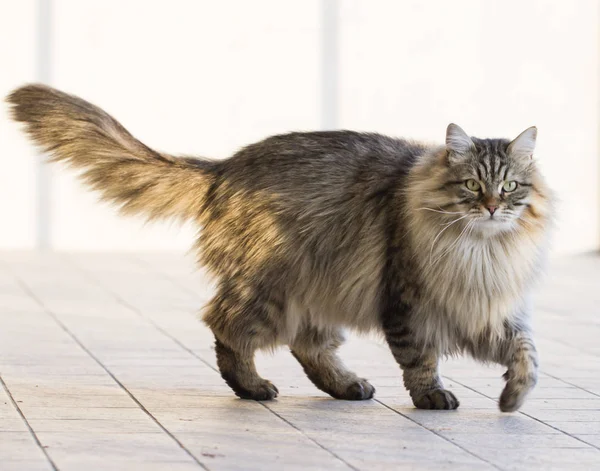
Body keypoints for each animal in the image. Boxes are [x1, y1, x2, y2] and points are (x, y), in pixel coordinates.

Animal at [7, 85, 552, 412]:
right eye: (472, 185)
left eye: (510, 188)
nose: (491, 207)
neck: (480, 252)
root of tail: (224, 166)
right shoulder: (409, 302)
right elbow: (420, 361)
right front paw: (433, 396)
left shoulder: (486, 310)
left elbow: (526, 352)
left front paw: (513, 398)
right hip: (270, 282)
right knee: (226, 328)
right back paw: (252, 388)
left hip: (319, 284)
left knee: (307, 345)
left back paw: (347, 386)